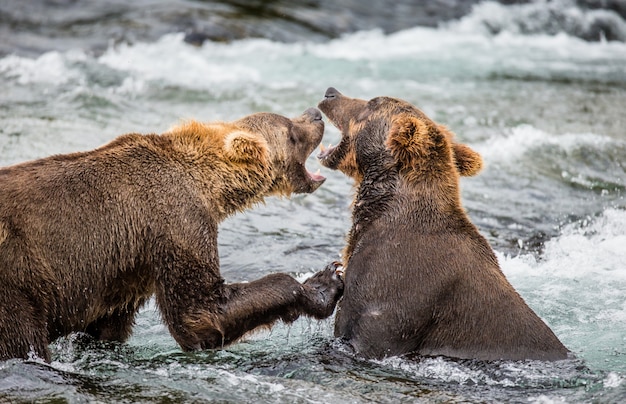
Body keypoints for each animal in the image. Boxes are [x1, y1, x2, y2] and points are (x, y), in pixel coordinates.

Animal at [0, 108, 342, 362]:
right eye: (291, 131)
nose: (315, 115)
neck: (209, 185)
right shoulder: (177, 221)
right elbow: (200, 313)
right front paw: (323, 283)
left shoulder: (125, 267)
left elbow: (107, 326)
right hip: (18, 281)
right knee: (22, 338)